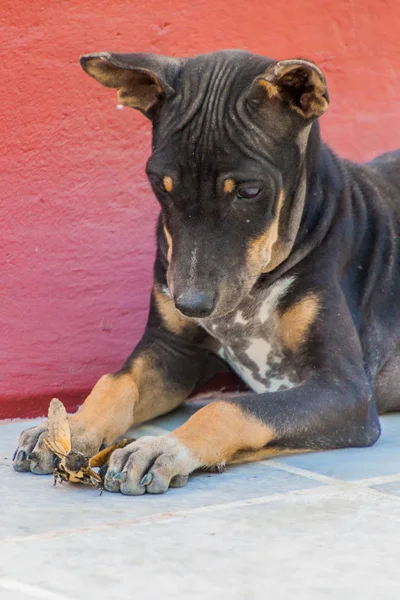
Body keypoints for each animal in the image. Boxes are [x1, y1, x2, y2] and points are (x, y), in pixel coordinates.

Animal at [14, 49, 400, 494]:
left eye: (249, 191)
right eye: (160, 185)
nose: (191, 304)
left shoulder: (345, 388)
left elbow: (228, 407)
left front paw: (163, 448)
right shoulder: (172, 350)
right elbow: (115, 381)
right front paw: (68, 428)